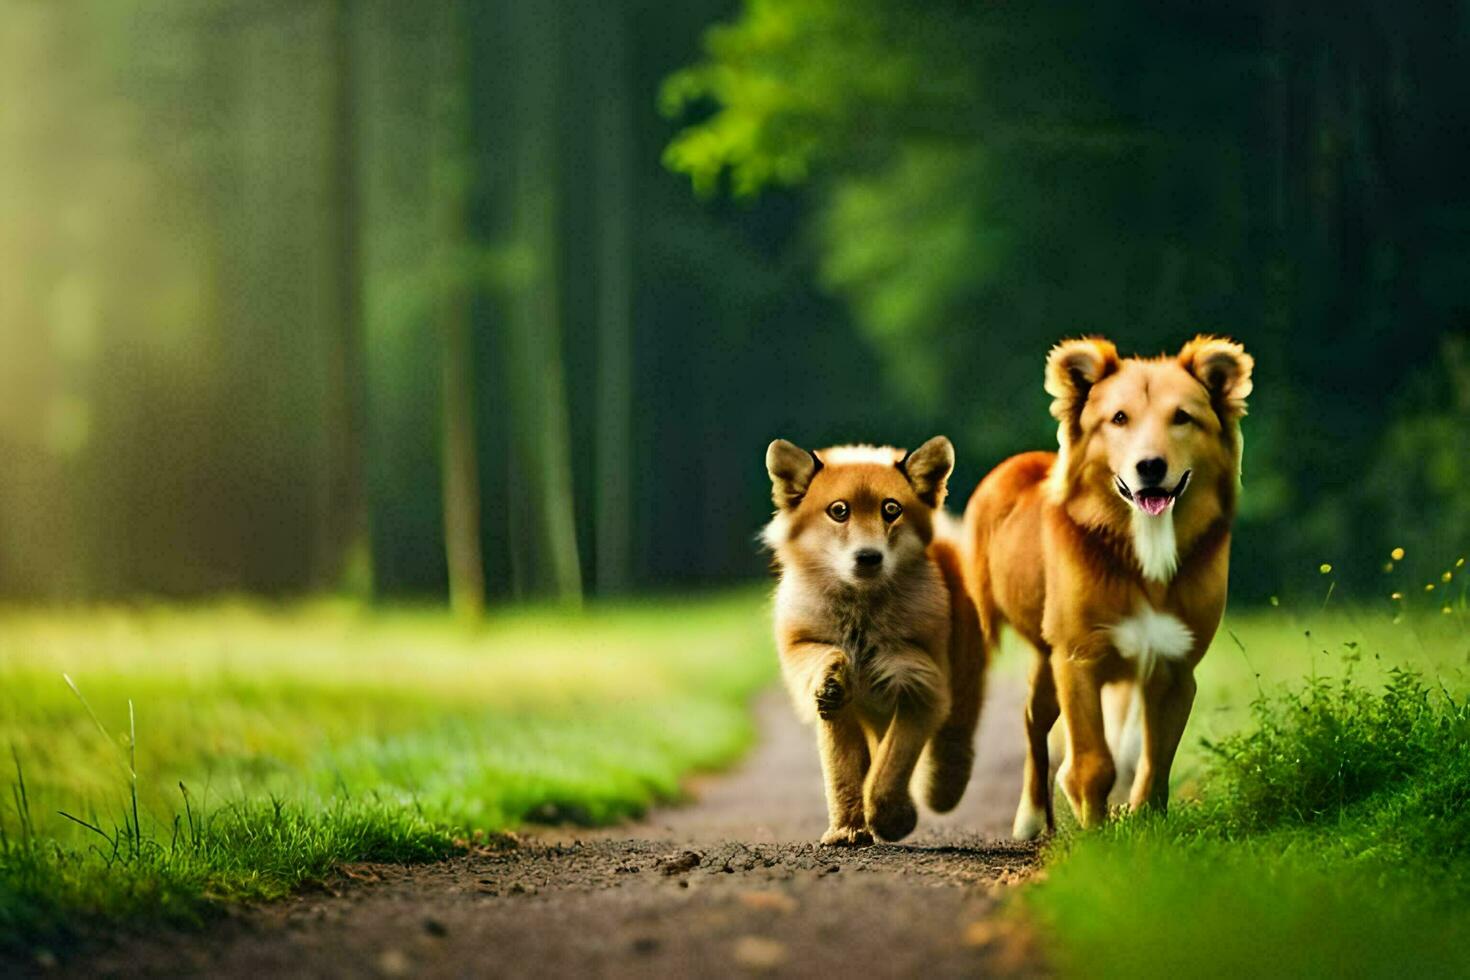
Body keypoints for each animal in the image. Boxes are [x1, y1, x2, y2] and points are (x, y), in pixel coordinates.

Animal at [764, 437, 981, 846]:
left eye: (891, 509)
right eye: (839, 511)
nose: (868, 557)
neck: (860, 624)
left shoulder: (920, 685)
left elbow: (890, 767)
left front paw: (891, 818)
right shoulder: (811, 660)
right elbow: (843, 772)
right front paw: (848, 828)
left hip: (961, 683)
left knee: (955, 737)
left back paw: (941, 789)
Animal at [964, 337, 1252, 834]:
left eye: (1182, 417)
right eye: (1119, 418)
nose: (1150, 466)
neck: (1146, 547)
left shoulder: (1176, 665)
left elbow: (1155, 763)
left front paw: (1144, 826)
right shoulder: (1078, 657)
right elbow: (1093, 762)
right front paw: (1095, 834)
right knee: (1030, 724)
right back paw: (1029, 819)